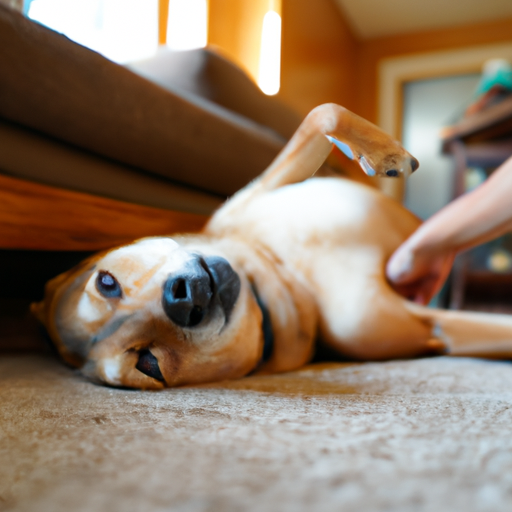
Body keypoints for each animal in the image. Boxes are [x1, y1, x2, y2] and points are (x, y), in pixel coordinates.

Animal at [32, 103, 512, 388]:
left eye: (107, 282)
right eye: (148, 364)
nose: (183, 299)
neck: (294, 272)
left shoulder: (266, 188)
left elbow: (323, 114)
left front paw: (382, 154)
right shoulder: (413, 325)